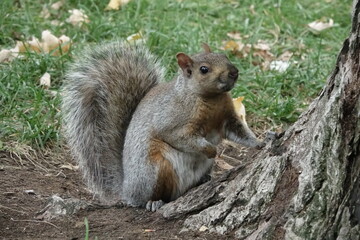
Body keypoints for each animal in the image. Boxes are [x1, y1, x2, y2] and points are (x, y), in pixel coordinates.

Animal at [60, 42, 266, 211]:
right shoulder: (171, 122)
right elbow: (181, 138)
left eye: (224, 56)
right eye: (204, 69)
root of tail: (127, 188)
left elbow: (240, 132)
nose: (234, 72)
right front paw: (210, 149)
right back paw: (153, 202)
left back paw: (203, 180)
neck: (211, 99)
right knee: (153, 196)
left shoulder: (227, 118)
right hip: (154, 169)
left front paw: (261, 143)